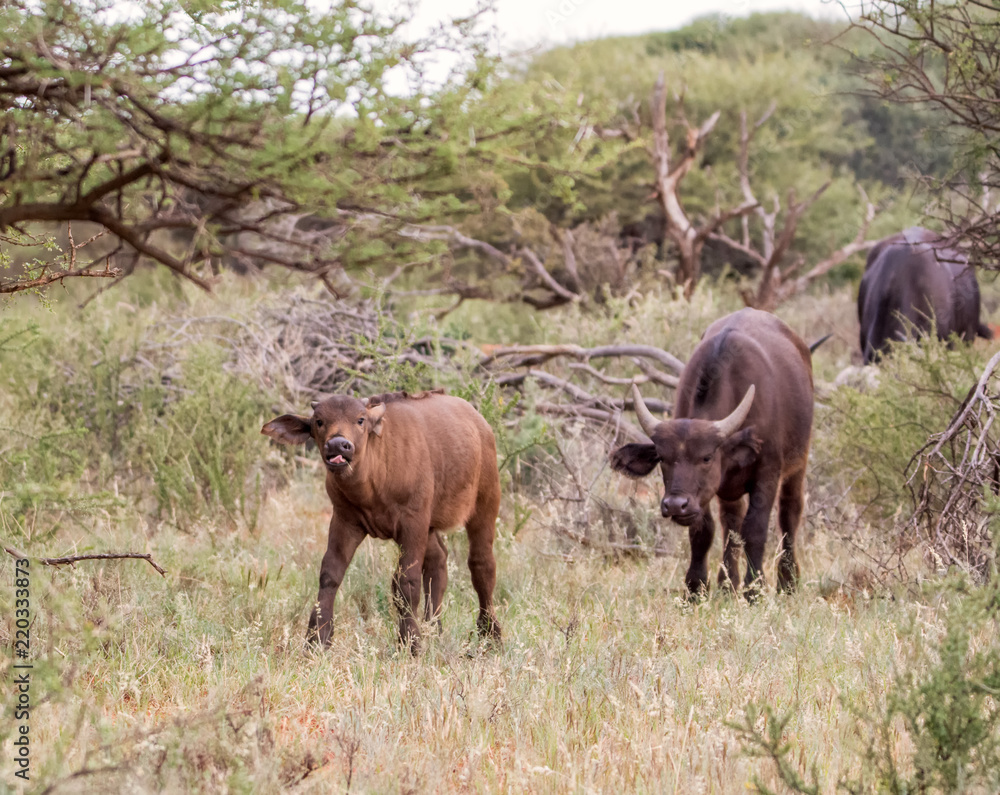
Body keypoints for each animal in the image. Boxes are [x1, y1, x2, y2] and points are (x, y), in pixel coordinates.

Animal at [262, 388, 504, 648]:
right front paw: (317, 637)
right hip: (429, 527)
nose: (338, 445)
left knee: (482, 564)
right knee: (438, 560)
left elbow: (407, 582)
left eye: (360, 420)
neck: (373, 480)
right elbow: (330, 574)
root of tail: (481, 424)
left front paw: (410, 642)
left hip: (485, 504)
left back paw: (490, 633)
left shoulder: (412, 522)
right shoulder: (345, 520)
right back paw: (434, 628)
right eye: (319, 421)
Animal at [608, 310, 812, 596]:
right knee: (731, 521)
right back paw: (727, 584)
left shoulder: (768, 472)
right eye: (663, 458)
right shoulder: (701, 495)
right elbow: (703, 531)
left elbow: (756, 529)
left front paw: (754, 588)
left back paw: (788, 582)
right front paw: (696, 587)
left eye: (706, 457)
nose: (675, 504)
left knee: (789, 513)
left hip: (798, 463)